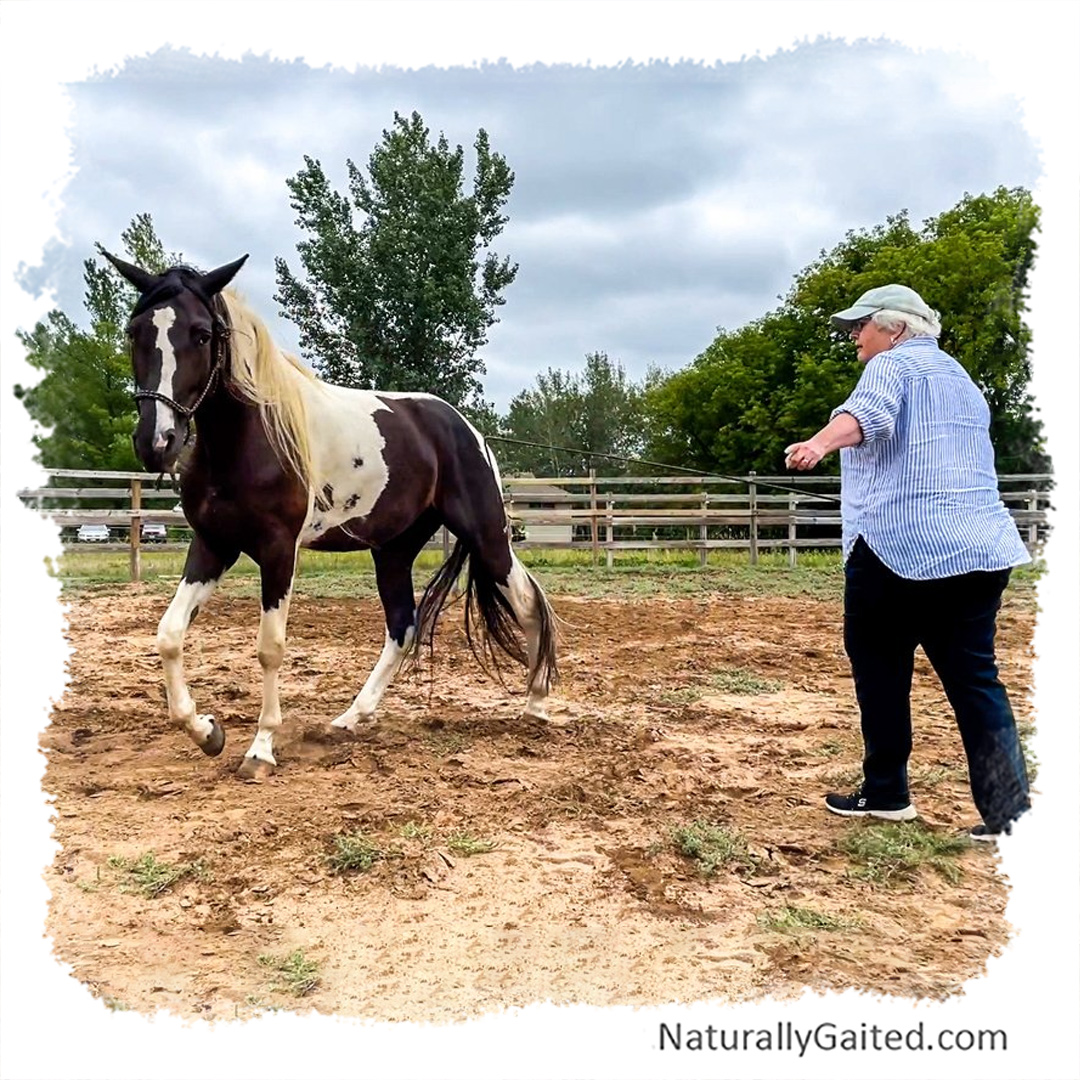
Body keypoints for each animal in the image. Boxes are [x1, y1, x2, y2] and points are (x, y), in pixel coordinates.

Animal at [105, 252, 558, 780]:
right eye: (135, 331)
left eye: (200, 333)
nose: (156, 441)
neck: (250, 439)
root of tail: (465, 428)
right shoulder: (213, 545)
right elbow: (169, 635)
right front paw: (206, 732)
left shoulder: (278, 551)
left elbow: (270, 648)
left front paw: (261, 749)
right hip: (393, 550)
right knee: (402, 627)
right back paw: (350, 718)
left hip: (487, 534)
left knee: (526, 603)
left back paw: (536, 706)